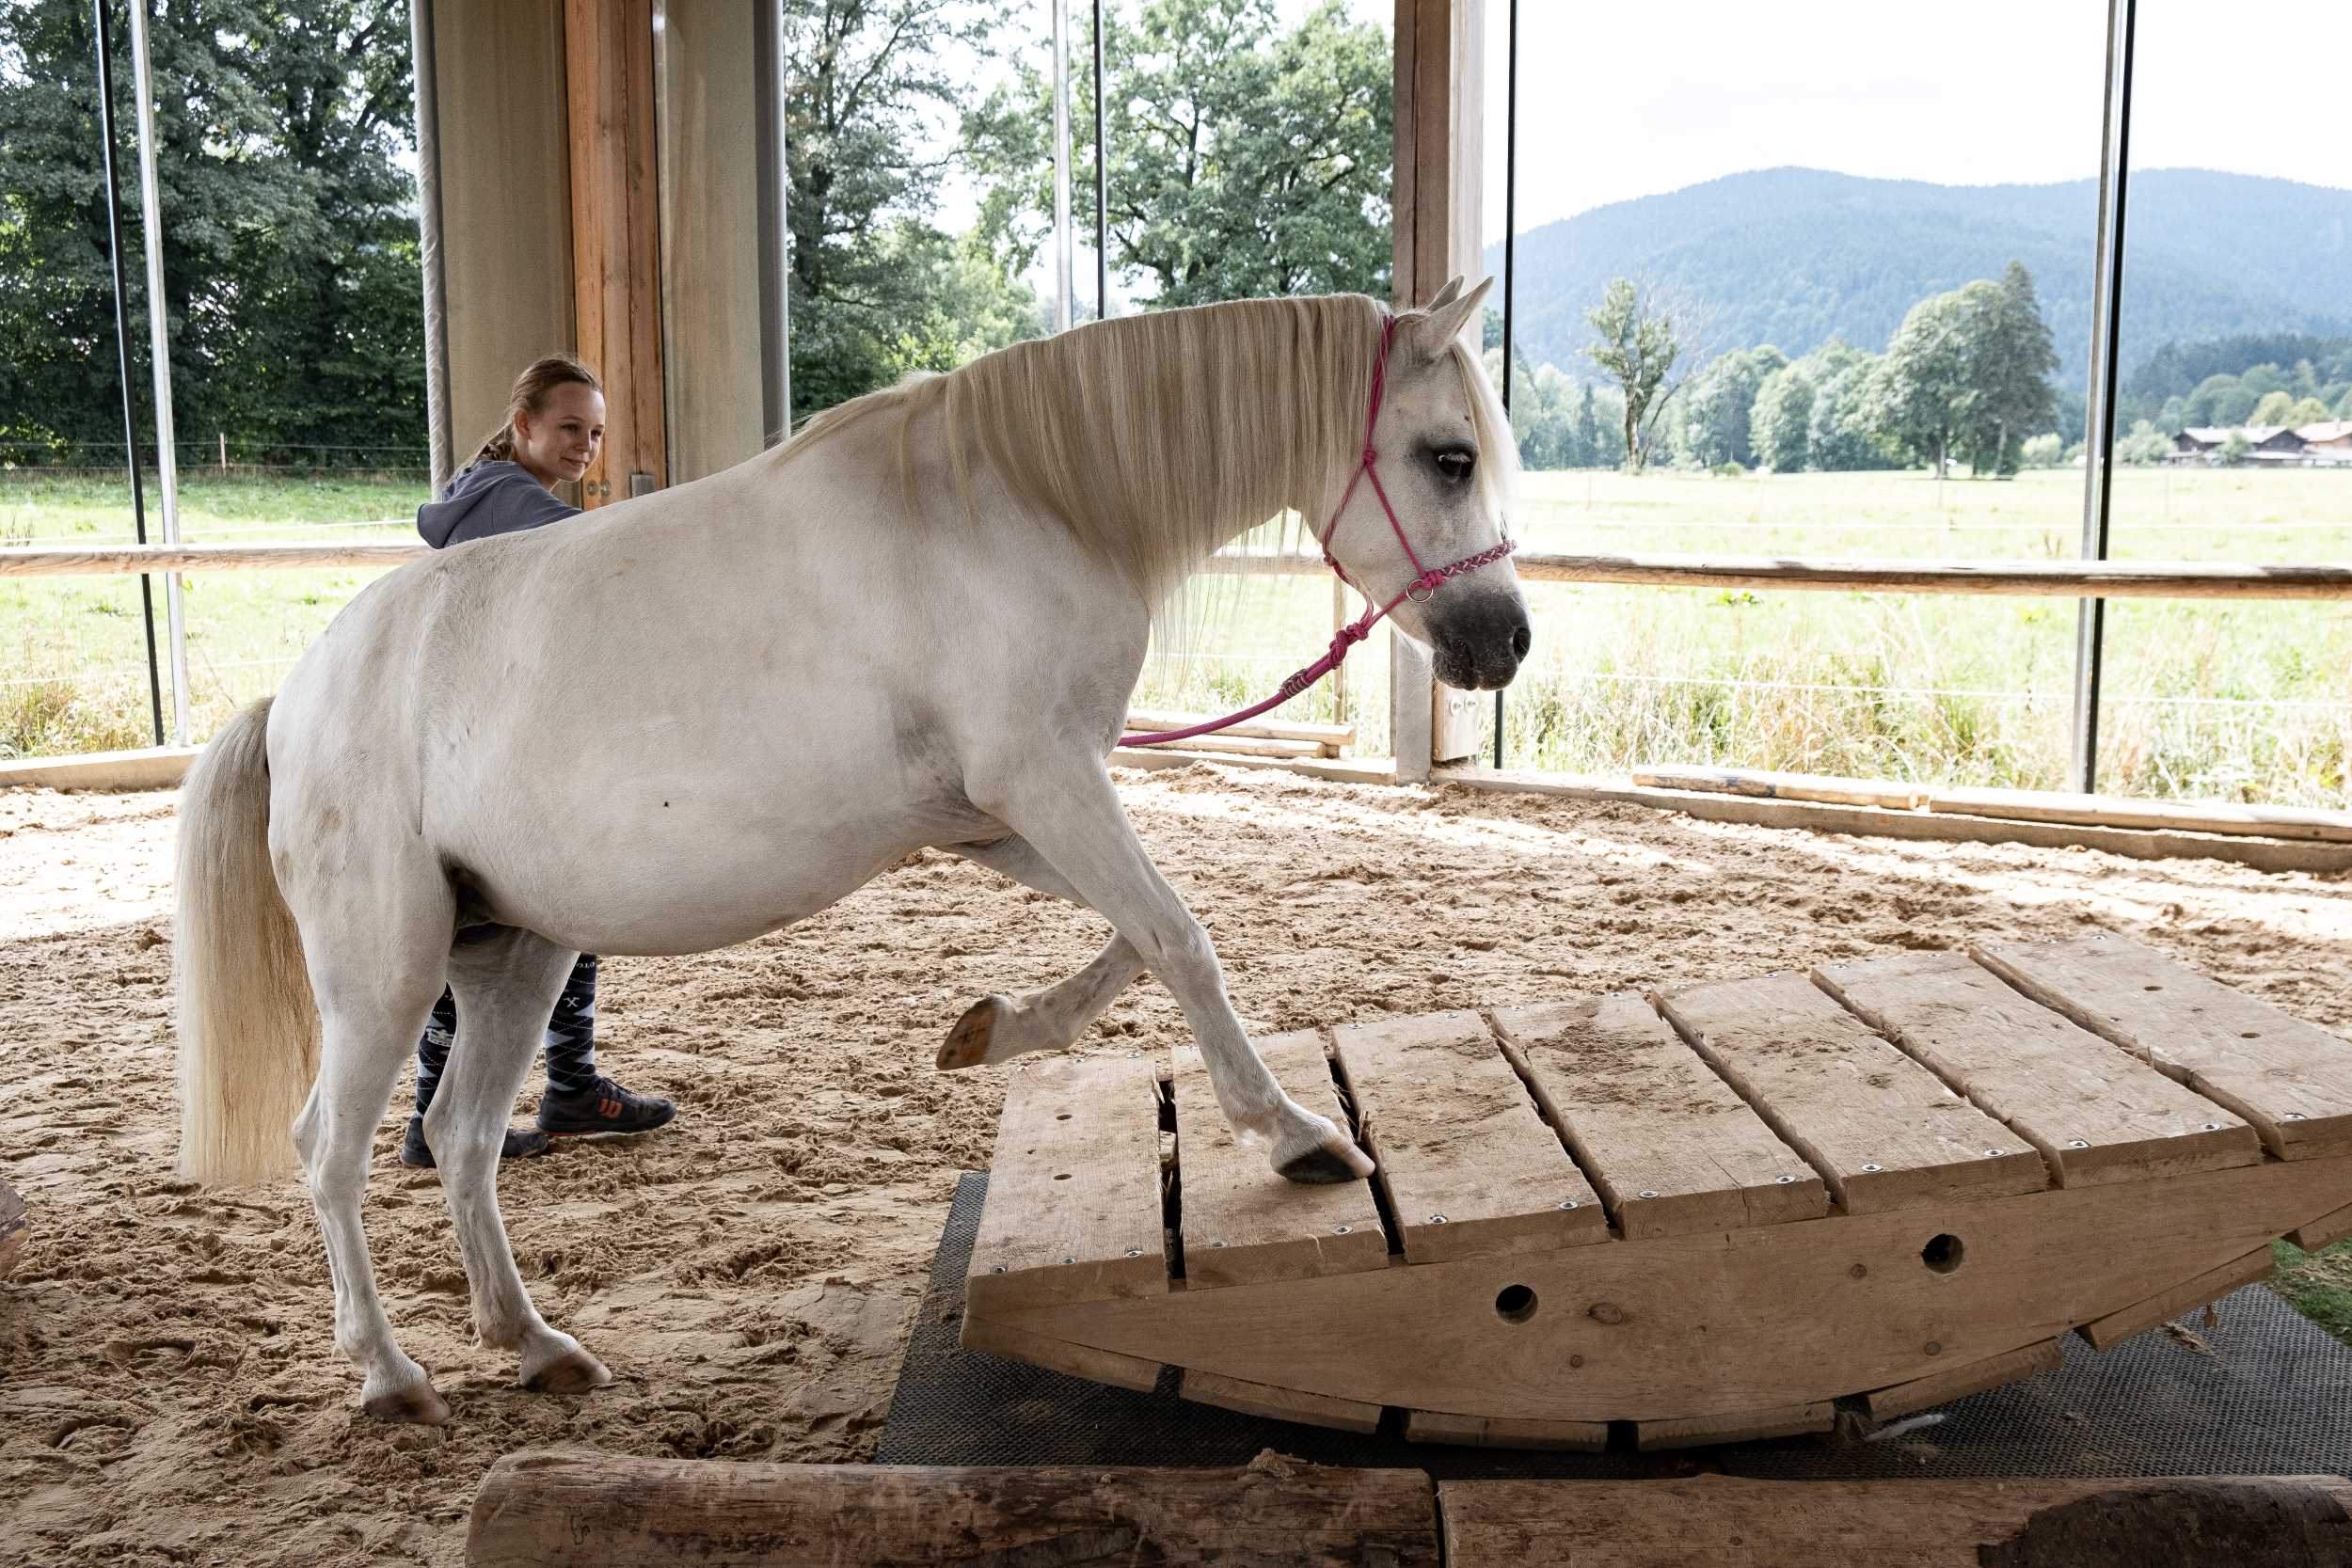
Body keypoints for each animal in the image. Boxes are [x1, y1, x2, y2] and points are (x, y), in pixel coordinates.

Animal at [170, 278, 1524, 1419]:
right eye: (1448, 457)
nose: (1502, 642)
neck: (1018, 502)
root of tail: (292, 701)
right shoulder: (1044, 778)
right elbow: (1178, 936)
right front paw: (1297, 1135)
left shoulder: (999, 814)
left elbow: (1146, 934)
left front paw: (994, 1028)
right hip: (386, 970)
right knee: (329, 1149)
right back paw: (389, 1371)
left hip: (516, 955)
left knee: (458, 1136)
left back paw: (534, 1342)